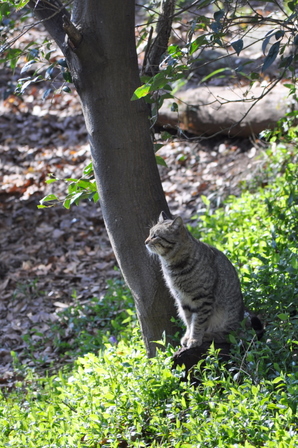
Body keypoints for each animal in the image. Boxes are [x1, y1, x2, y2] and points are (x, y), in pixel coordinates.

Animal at [145, 212, 244, 348]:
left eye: (155, 236)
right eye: (149, 233)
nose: (145, 241)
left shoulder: (203, 298)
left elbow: (198, 322)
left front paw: (195, 339)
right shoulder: (182, 299)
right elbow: (189, 321)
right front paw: (188, 336)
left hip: (227, 316)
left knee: (228, 335)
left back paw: (209, 335)